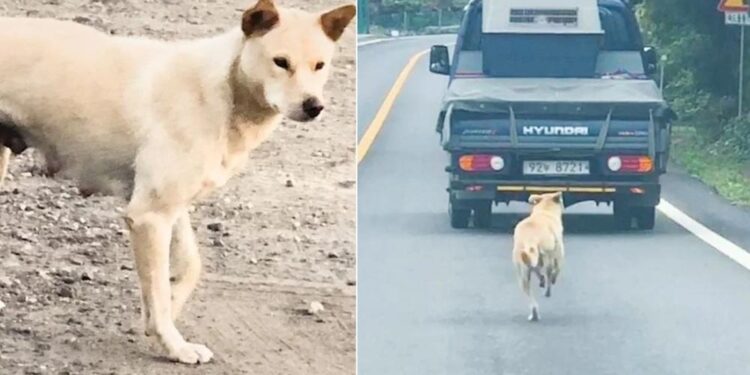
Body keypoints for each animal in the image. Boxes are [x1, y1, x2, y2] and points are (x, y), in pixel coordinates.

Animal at [0, 0, 356, 364]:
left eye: (320, 65)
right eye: (281, 62)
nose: (314, 106)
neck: (222, 91)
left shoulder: (170, 207)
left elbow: (189, 265)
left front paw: (169, 305)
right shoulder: (149, 216)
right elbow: (157, 292)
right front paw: (175, 344)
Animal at [516, 192, 568, 322]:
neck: (544, 210)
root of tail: (529, 238)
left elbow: (537, 270)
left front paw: (541, 279)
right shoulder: (559, 252)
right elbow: (557, 269)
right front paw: (552, 279)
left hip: (522, 268)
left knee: (528, 288)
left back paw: (534, 313)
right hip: (547, 255)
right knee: (549, 271)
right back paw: (547, 290)